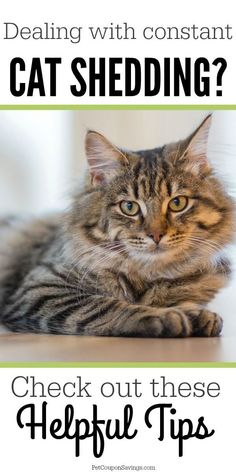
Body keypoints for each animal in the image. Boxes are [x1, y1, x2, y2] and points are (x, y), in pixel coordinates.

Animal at [0, 114, 234, 336]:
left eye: (177, 203)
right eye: (129, 207)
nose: (156, 235)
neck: (149, 276)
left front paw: (197, 313)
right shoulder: (41, 288)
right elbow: (106, 306)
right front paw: (166, 316)